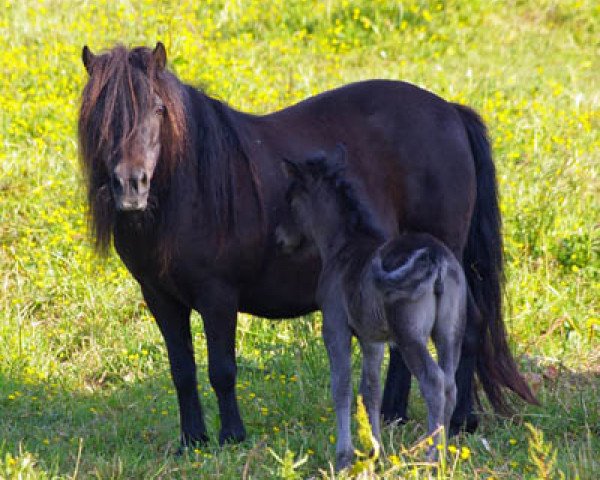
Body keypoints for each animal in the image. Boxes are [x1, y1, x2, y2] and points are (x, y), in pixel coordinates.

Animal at [77, 42, 536, 450]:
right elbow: (182, 371)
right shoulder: (160, 297)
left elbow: (221, 369)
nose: (131, 185)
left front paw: (232, 437)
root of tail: (451, 112)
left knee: (469, 325)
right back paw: (393, 414)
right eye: (100, 115)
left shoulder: (217, 296)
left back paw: (460, 421)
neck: (190, 190)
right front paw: (192, 441)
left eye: (158, 109)